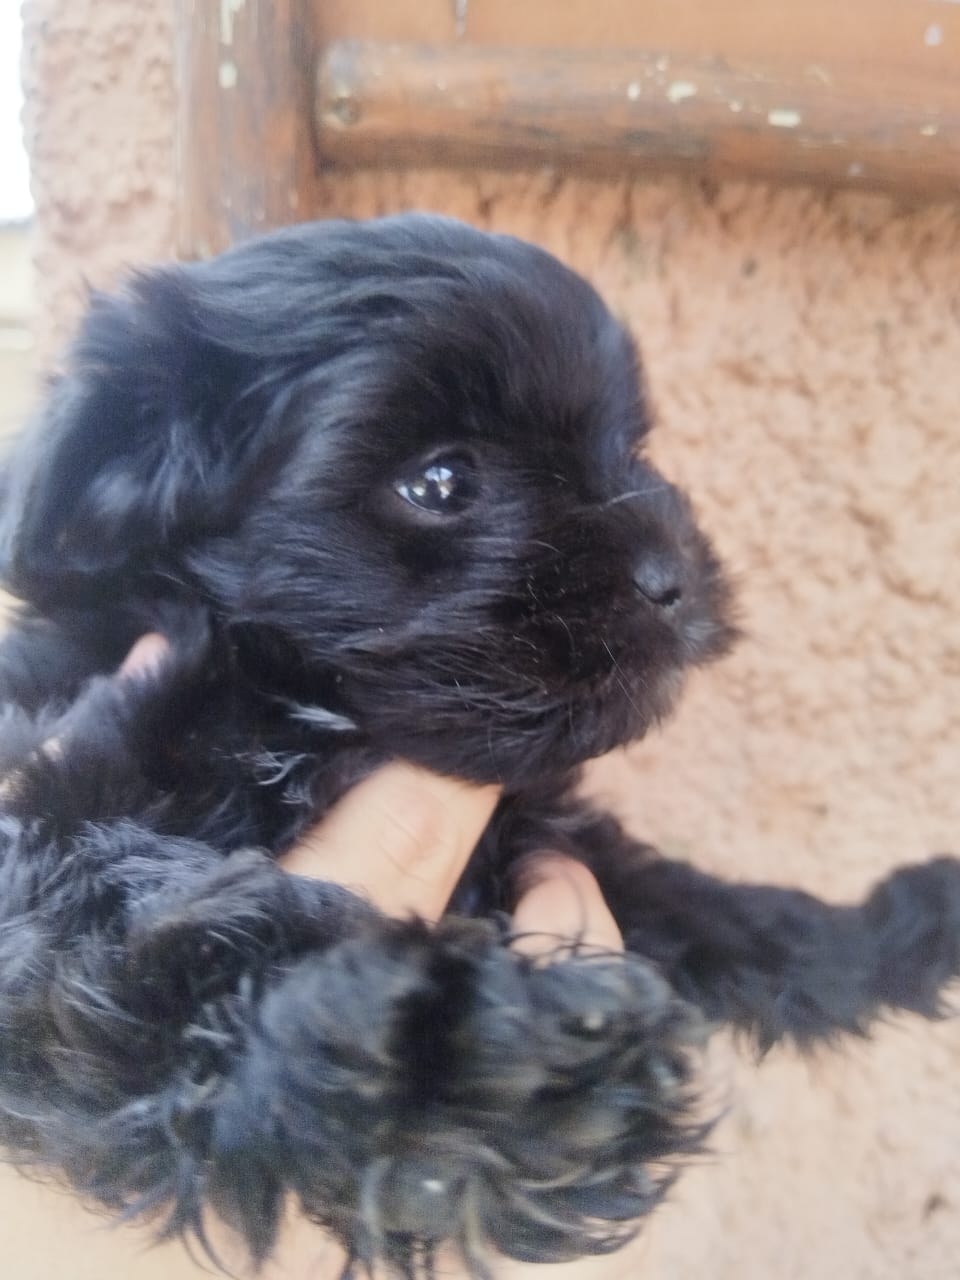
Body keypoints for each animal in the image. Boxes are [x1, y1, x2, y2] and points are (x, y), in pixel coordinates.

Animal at [0, 214, 956, 1275]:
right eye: (441, 480)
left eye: (631, 449)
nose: (671, 575)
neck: (312, 711)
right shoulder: (66, 818)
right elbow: (151, 934)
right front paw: (463, 1057)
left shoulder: (544, 830)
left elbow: (723, 915)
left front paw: (894, 925)